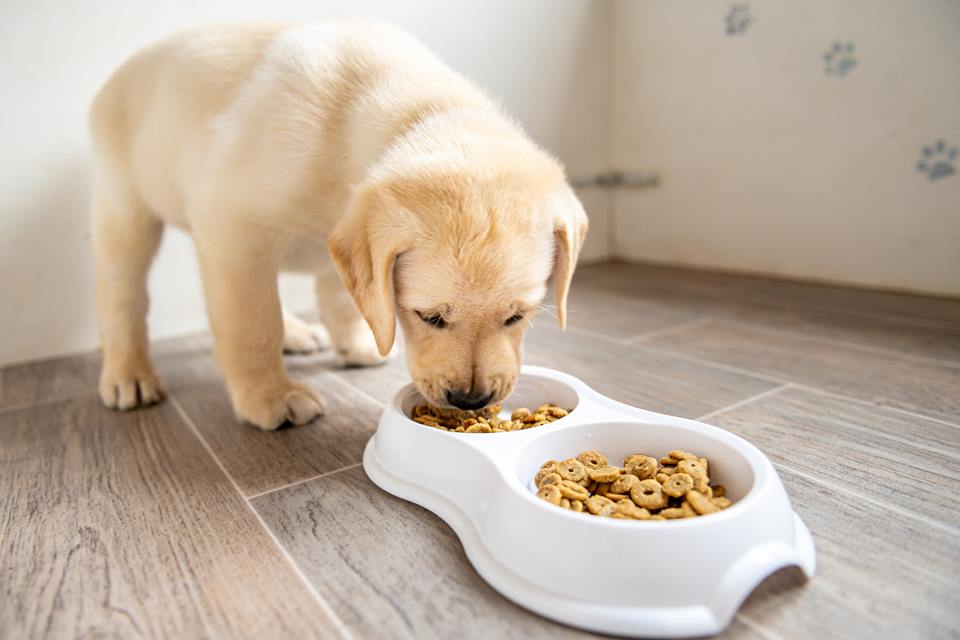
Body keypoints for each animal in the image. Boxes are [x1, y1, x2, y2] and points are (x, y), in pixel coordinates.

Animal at [92, 22, 584, 430]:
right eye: (430, 317)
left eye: (517, 316)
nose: (470, 400)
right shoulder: (233, 229)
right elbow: (252, 324)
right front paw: (270, 397)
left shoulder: (345, 243)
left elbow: (344, 297)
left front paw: (354, 342)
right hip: (126, 209)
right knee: (123, 295)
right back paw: (129, 373)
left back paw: (298, 333)